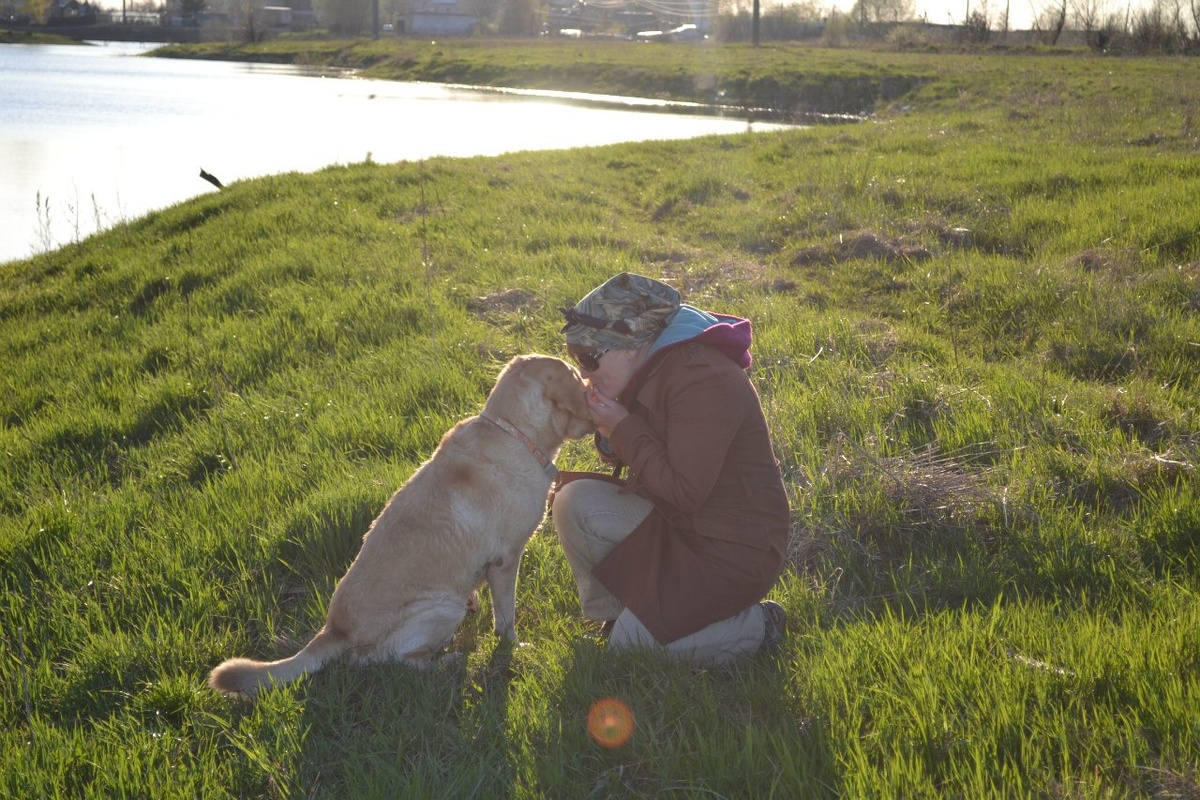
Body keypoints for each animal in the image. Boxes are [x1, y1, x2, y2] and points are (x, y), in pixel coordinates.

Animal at [213, 352, 597, 695]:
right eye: (578, 378)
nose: (596, 389)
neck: (514, 431)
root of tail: (334, 630)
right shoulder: (505, 560)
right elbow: (506, 619)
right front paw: (513, 647)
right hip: (443, 607)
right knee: (388, 661)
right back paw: (448, 661)